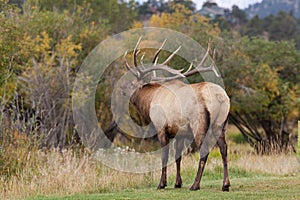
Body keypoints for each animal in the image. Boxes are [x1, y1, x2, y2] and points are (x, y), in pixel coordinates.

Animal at [122, 38, 230, 191]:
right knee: (224, 149)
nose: (122, 88)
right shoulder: (180, 133)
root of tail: (219, 97)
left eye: (132, 84)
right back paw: (225, 184)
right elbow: (178, 157)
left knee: (204, 151)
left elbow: (164, 156)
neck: (149, 101)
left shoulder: (161, 127)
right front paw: (177, 183)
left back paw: (195, 185)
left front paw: (162, 183)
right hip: (220, 124)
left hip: (198, 124)